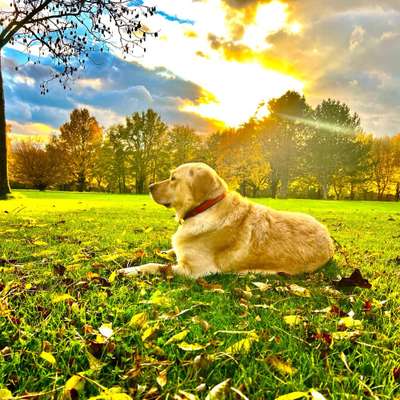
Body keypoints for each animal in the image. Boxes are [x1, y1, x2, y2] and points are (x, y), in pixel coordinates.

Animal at [117, 162, 332, 278]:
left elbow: (155, 266)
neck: (205, 208)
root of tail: (329, 239)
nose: (150, 186)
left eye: (173, 178)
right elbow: (170, 253)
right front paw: (165, 251)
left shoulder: (194, 271)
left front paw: (130, 270)